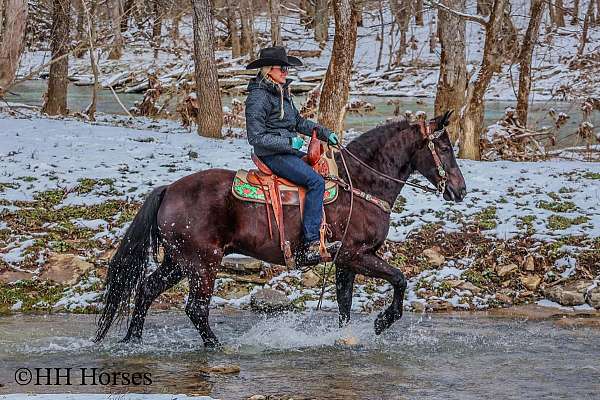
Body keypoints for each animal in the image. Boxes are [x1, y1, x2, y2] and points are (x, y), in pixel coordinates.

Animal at [96, 111, 466, 346]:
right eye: (444, 147)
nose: (460, 190)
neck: (360, 185)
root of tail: (169, 190)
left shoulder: (345, 262)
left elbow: (344, 304)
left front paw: (345, 337)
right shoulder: (357, 255)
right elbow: (400, 279)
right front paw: (381, 322)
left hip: (178, 262)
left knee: (145, 290)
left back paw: (132, 340)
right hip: (203, 263)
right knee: (196, 309)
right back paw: (216, 346)